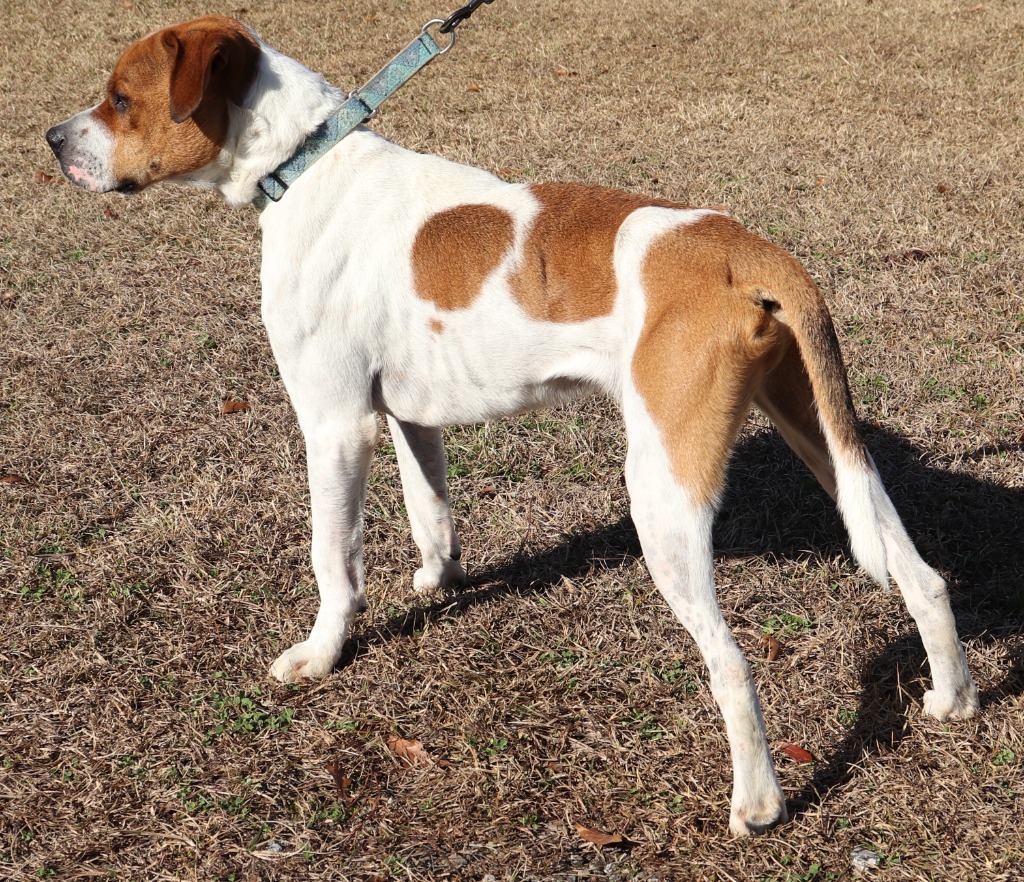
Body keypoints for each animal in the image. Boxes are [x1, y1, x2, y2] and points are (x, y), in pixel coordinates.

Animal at [44, 17, 978, 835]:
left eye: (121, 98)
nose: (52, 139)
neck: (305, 162)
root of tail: (746, 246)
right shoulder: (407, 417)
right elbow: (431, 511)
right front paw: (438, 581)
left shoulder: (336, 424)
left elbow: (333, 560)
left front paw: (321, 653)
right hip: (824, 438)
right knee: (924, 577)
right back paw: (952, 699)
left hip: (663, 494)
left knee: (732, 660)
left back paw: (758, 805)